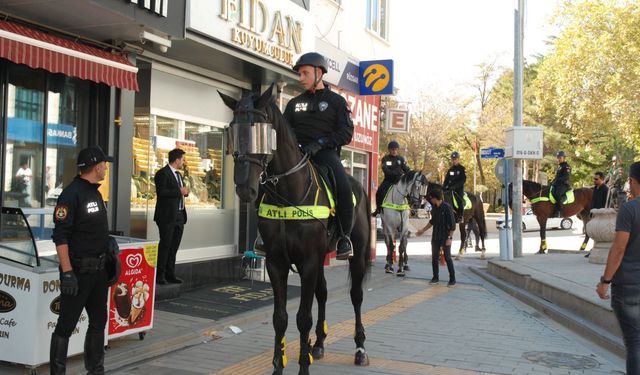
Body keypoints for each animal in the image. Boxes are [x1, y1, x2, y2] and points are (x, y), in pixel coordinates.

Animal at [220, 85, 370, 375]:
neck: (289, 191)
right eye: (234, 132)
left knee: (356, 296)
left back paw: (360, 349)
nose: (245, 189)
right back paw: (319, 344)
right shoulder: (277, 262)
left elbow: (303, 318)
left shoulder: (308, 262)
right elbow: (280, 318)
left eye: (261, 133)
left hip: (355, 255)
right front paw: (279, 366)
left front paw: (303, 366)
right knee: (323, 293)